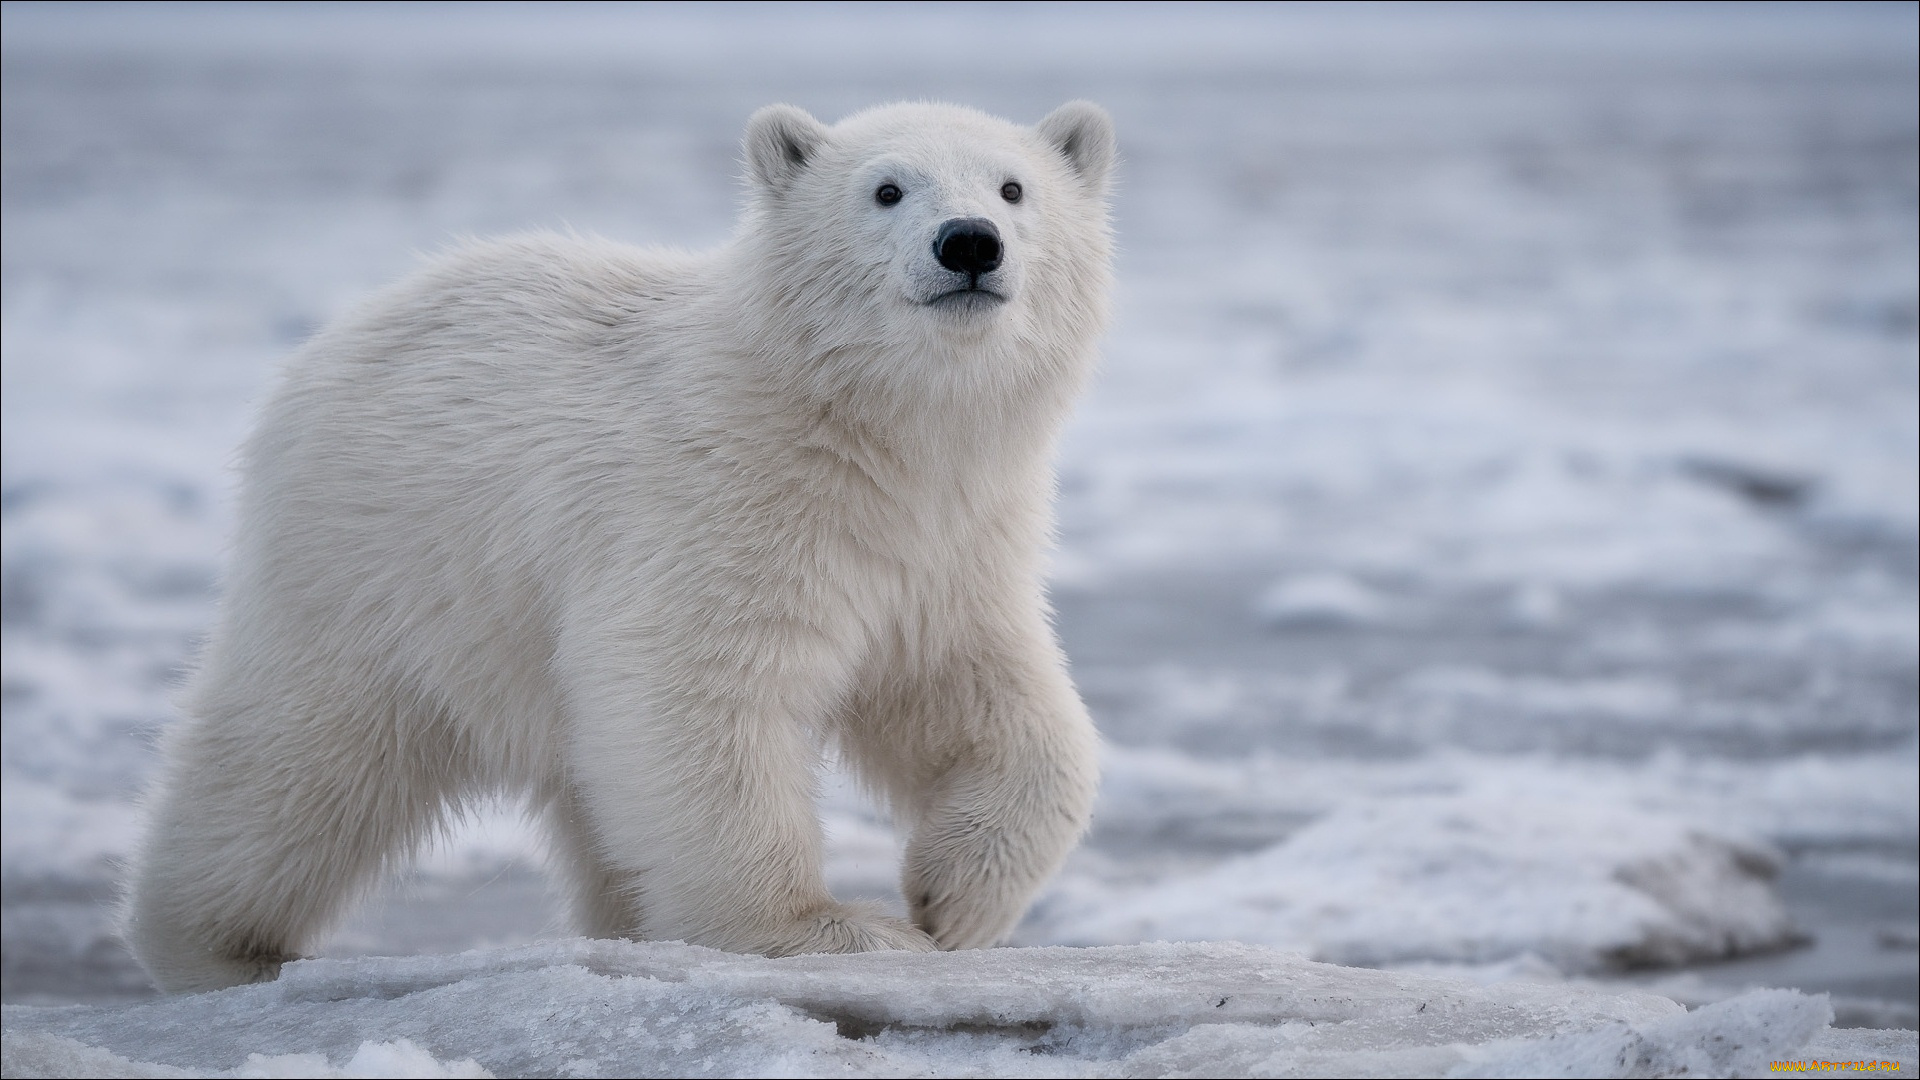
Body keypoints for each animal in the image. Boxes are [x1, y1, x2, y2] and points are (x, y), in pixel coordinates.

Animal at [123, 100, 1115, 992]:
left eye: (1013, 187)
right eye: (886, 188)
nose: (970, 243)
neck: (865, 430)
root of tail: (336, 339)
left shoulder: (947, 543)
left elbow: (984, 701)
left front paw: (955, 900)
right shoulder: (717, 502)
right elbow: (693, 695)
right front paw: (827, 929)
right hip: (381, 562)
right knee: (296, 761)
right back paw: (213, 945)